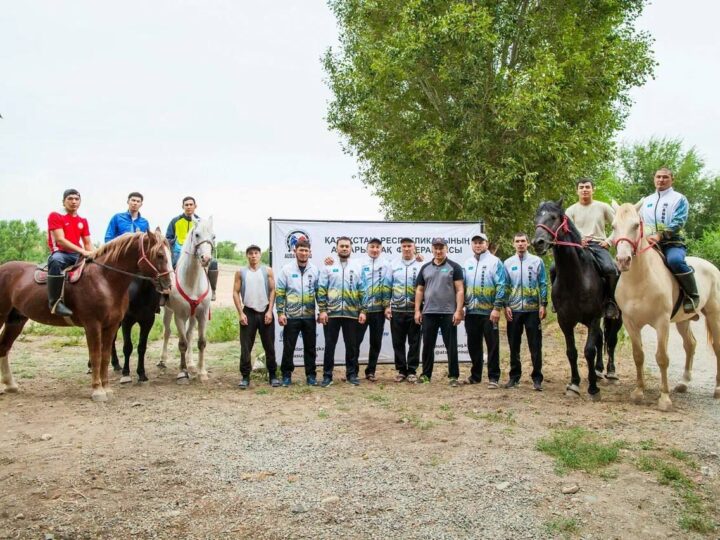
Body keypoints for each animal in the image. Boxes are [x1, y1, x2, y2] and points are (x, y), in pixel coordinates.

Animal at [0, 231, 171, 400]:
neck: (105, 280)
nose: (168, 284)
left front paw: (107, 388)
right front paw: (98, 390)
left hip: (16, 320)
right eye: (160, 255)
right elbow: (95, 356)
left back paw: (10, 385)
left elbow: (105, 356)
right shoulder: (93, 325)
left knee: (4, 347)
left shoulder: (112, 325)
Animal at [158, 217, 214, 382]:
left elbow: (200, 342)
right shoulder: (180, 316)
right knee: (167, 332)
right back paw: (163, 360)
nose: (206, 259)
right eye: (196, 234)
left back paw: (191, 363)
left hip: (193, 316)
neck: (192, 282)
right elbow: (182, 343)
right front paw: (182, 372)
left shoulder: (202, 315)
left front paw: (201, 372)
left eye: (213, 236)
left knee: (189, 335)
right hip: (168, 312)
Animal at [532, 200, 620, 398]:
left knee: (611, 340)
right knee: (600, 339)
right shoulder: (564, 320)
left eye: (554, 217)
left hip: (616, 317)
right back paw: (598, 370)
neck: (576, 278)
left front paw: (593, 389)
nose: (538, 243)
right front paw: (574, 384)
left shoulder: (594, 317)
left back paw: (610, 372)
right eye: (536, 217)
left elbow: (588, 351)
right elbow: (572, 352)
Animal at [612, 201, 720, 410]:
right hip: (683, 321)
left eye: (636, 225)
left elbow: (662, 358)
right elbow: (638, 355)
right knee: (690, 344)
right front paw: (638, 392)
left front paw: (664, 398)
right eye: (613, 226)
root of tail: (712, 267)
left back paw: (718, 389)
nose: (623, 260)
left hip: (714, 315)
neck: (639, 281)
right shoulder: (630, 323)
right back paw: (683, 383)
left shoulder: (661, 322)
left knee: (717, 347)